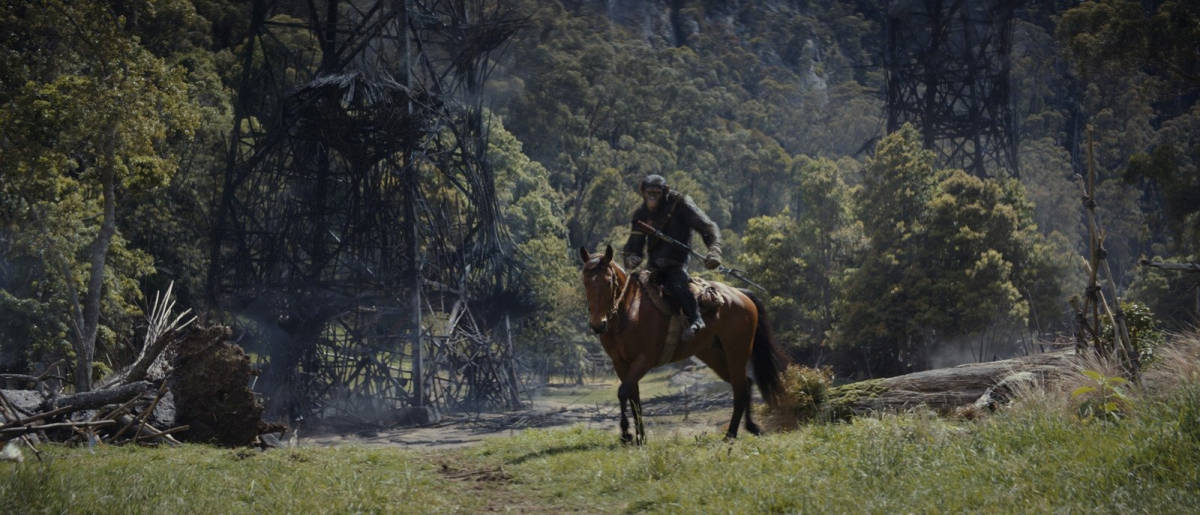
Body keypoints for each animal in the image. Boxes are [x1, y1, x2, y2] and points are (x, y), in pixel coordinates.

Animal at [578, 244, 792, 441]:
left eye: (608, 282)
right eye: (586, 282)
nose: (597, 324)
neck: (628, 311)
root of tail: (740, 294)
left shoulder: (644, 360)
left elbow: (623, 392)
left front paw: (626, 434)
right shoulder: (620, 364)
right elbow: (634, 398)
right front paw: (640, 438)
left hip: (736, 351)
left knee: (740, 390)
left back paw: (730, 435)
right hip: (714, 355)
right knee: (745, 384)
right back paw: (750, 427)